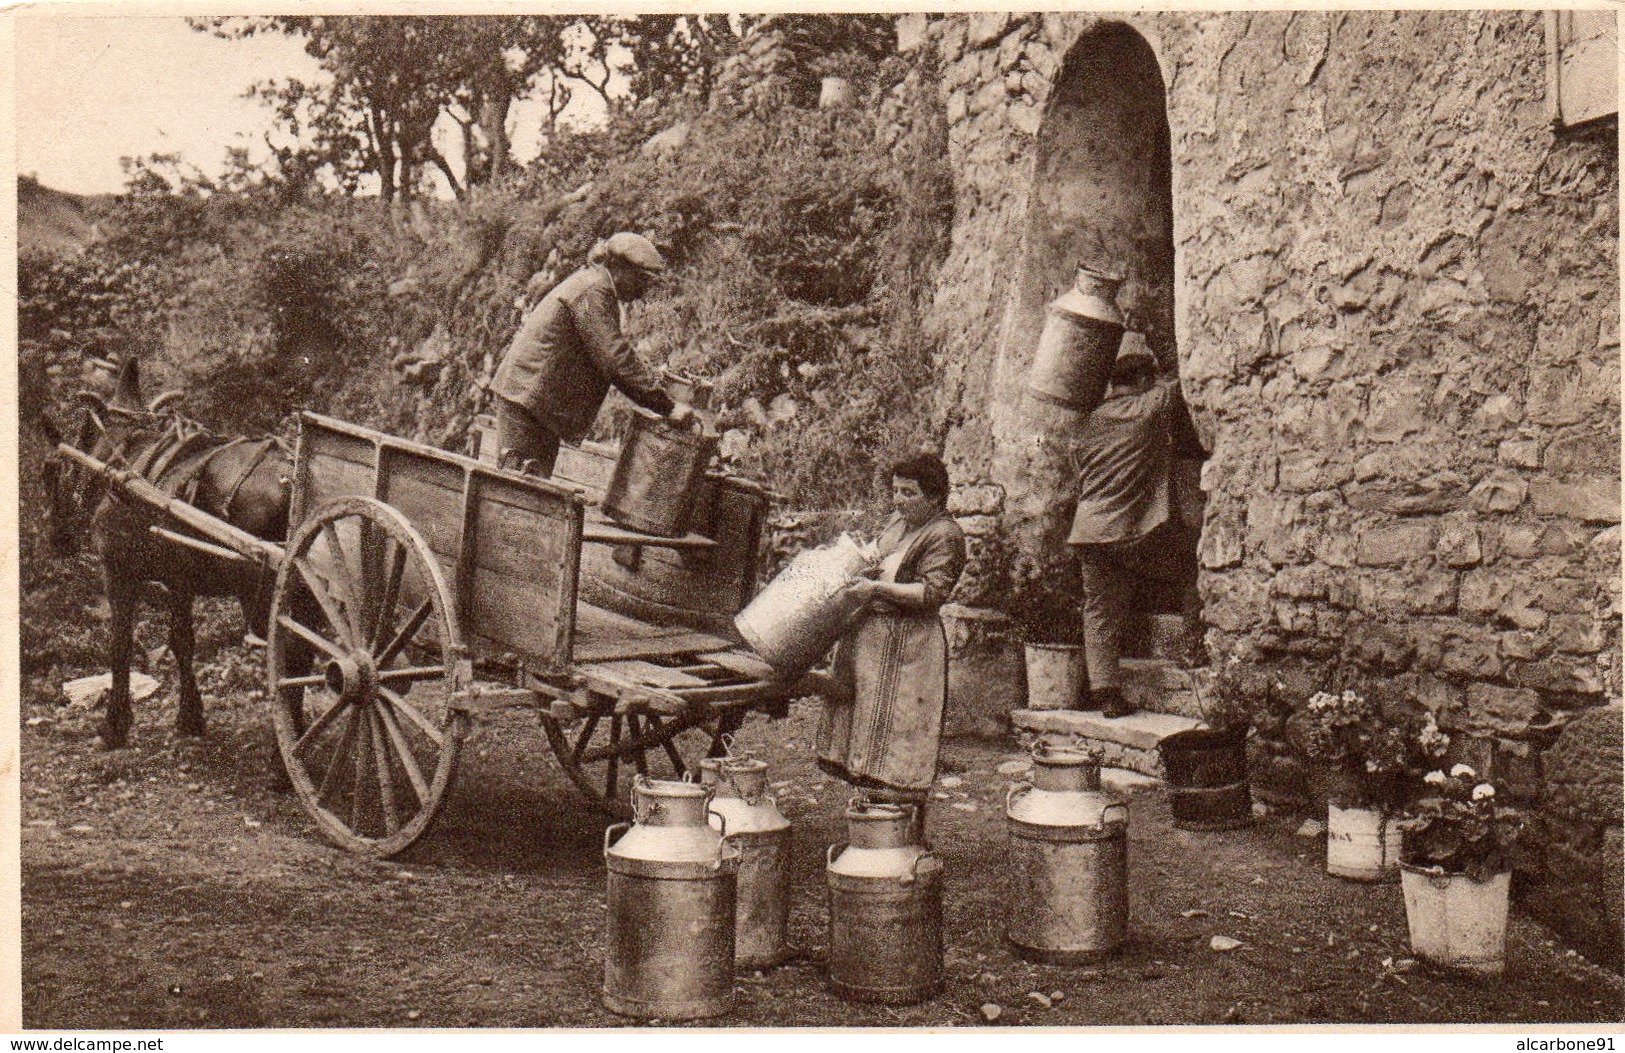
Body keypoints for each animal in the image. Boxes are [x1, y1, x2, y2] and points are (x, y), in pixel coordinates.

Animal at [41, 359, 300, 747]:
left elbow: (120, 643)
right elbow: (182, 642)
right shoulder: (180, 581)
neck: (123, 461)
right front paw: (190, 716)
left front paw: (115, 723)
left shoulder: (118, 572)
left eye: (51, 470)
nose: (57, 538)